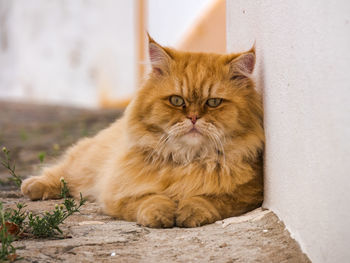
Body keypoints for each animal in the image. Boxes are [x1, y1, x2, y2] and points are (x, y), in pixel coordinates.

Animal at [20, 37, 264, 229]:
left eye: (213, 102)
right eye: (176, 101)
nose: (193, 118)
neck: (188, 160)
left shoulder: (245, 194)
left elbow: (207, 199)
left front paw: (189, 211)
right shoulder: (123, 191)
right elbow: (151, 199)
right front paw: (160, 215)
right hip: (86, 163)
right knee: (64, 172)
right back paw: (34, 186)